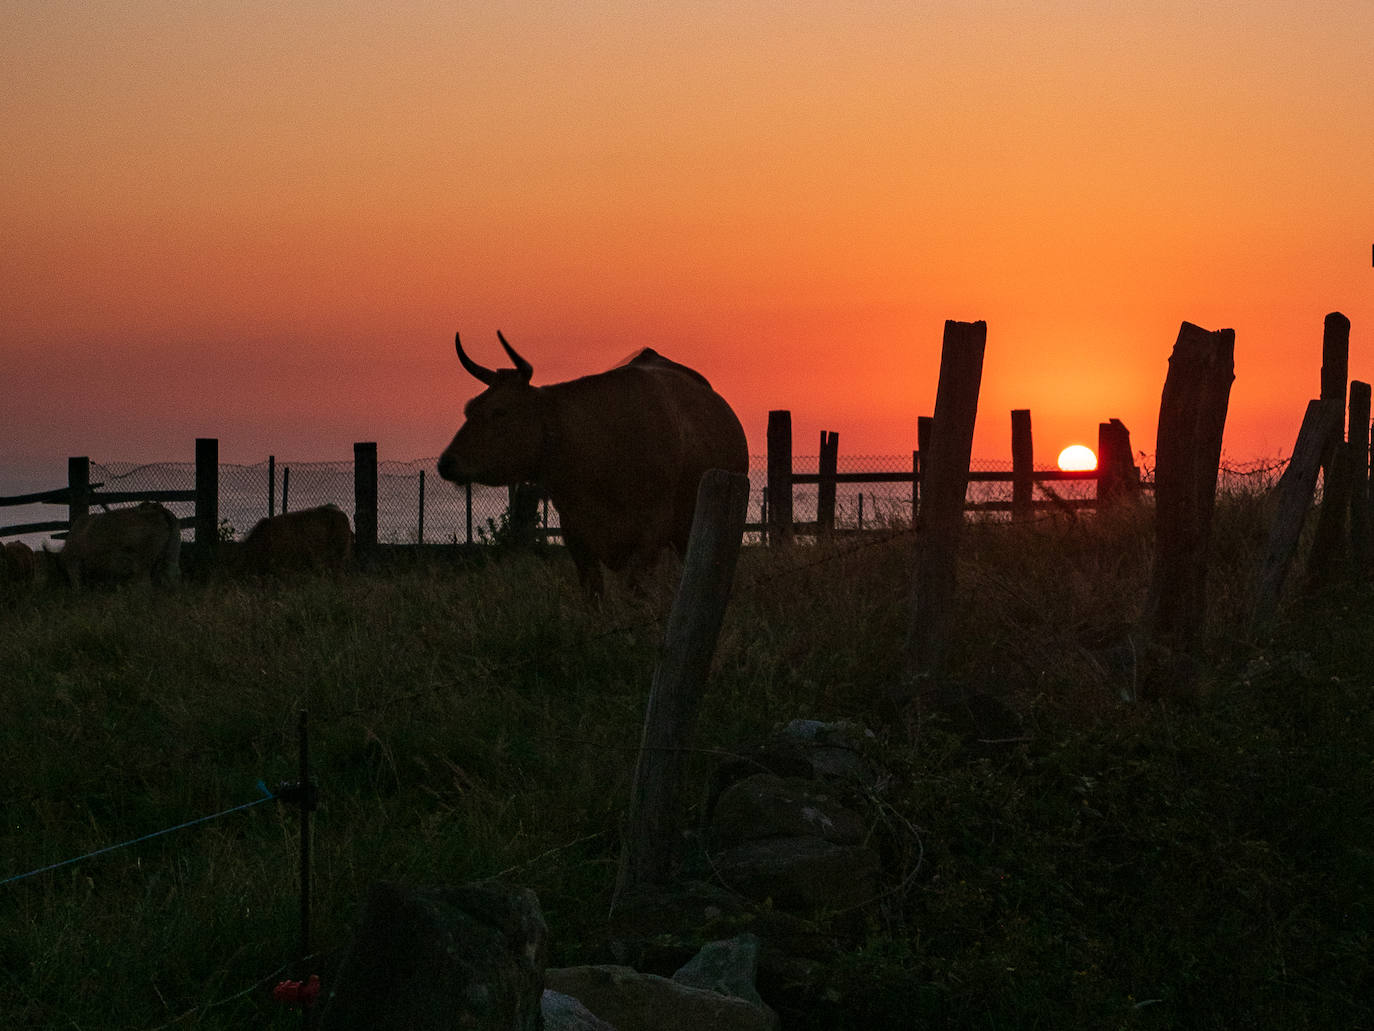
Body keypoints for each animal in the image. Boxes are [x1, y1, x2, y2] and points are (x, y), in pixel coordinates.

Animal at [436, 327, 752, 593]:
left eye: (501, 411)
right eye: (469, 408)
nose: (446, 462)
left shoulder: (653, 531)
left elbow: (635, 590)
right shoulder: (575, 532)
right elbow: (593, 591)